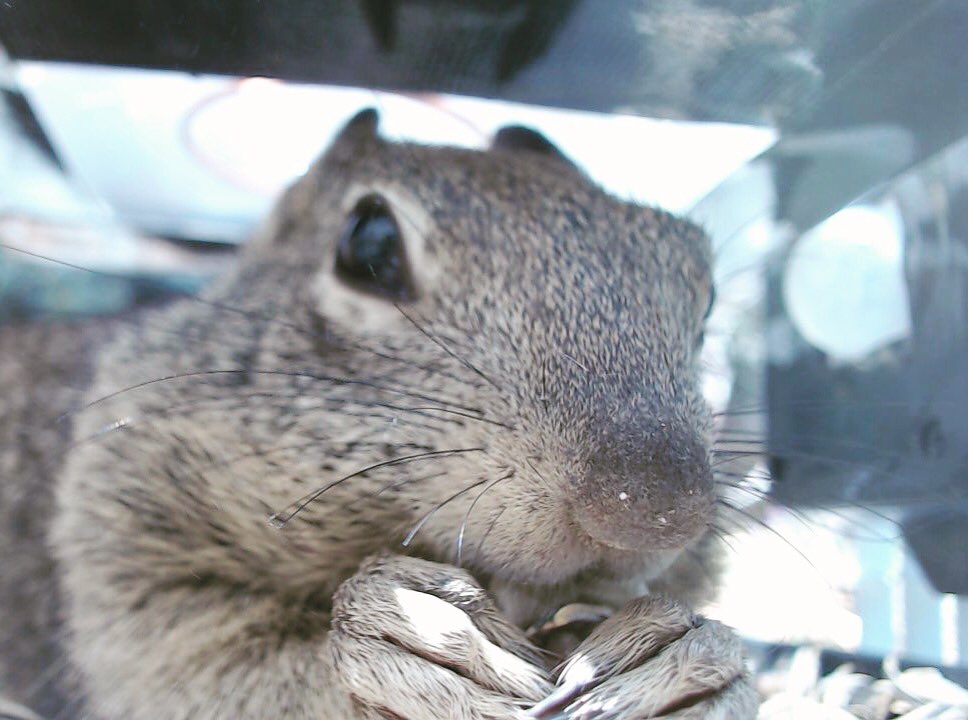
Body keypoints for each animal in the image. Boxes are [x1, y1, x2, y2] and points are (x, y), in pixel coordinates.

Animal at [0, 109, 758, 719]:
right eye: (366, 243)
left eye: (706, 289)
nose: (653, 512)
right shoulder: (127, 574)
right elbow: (198, 671)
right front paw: (401, 642)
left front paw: (684, 662)